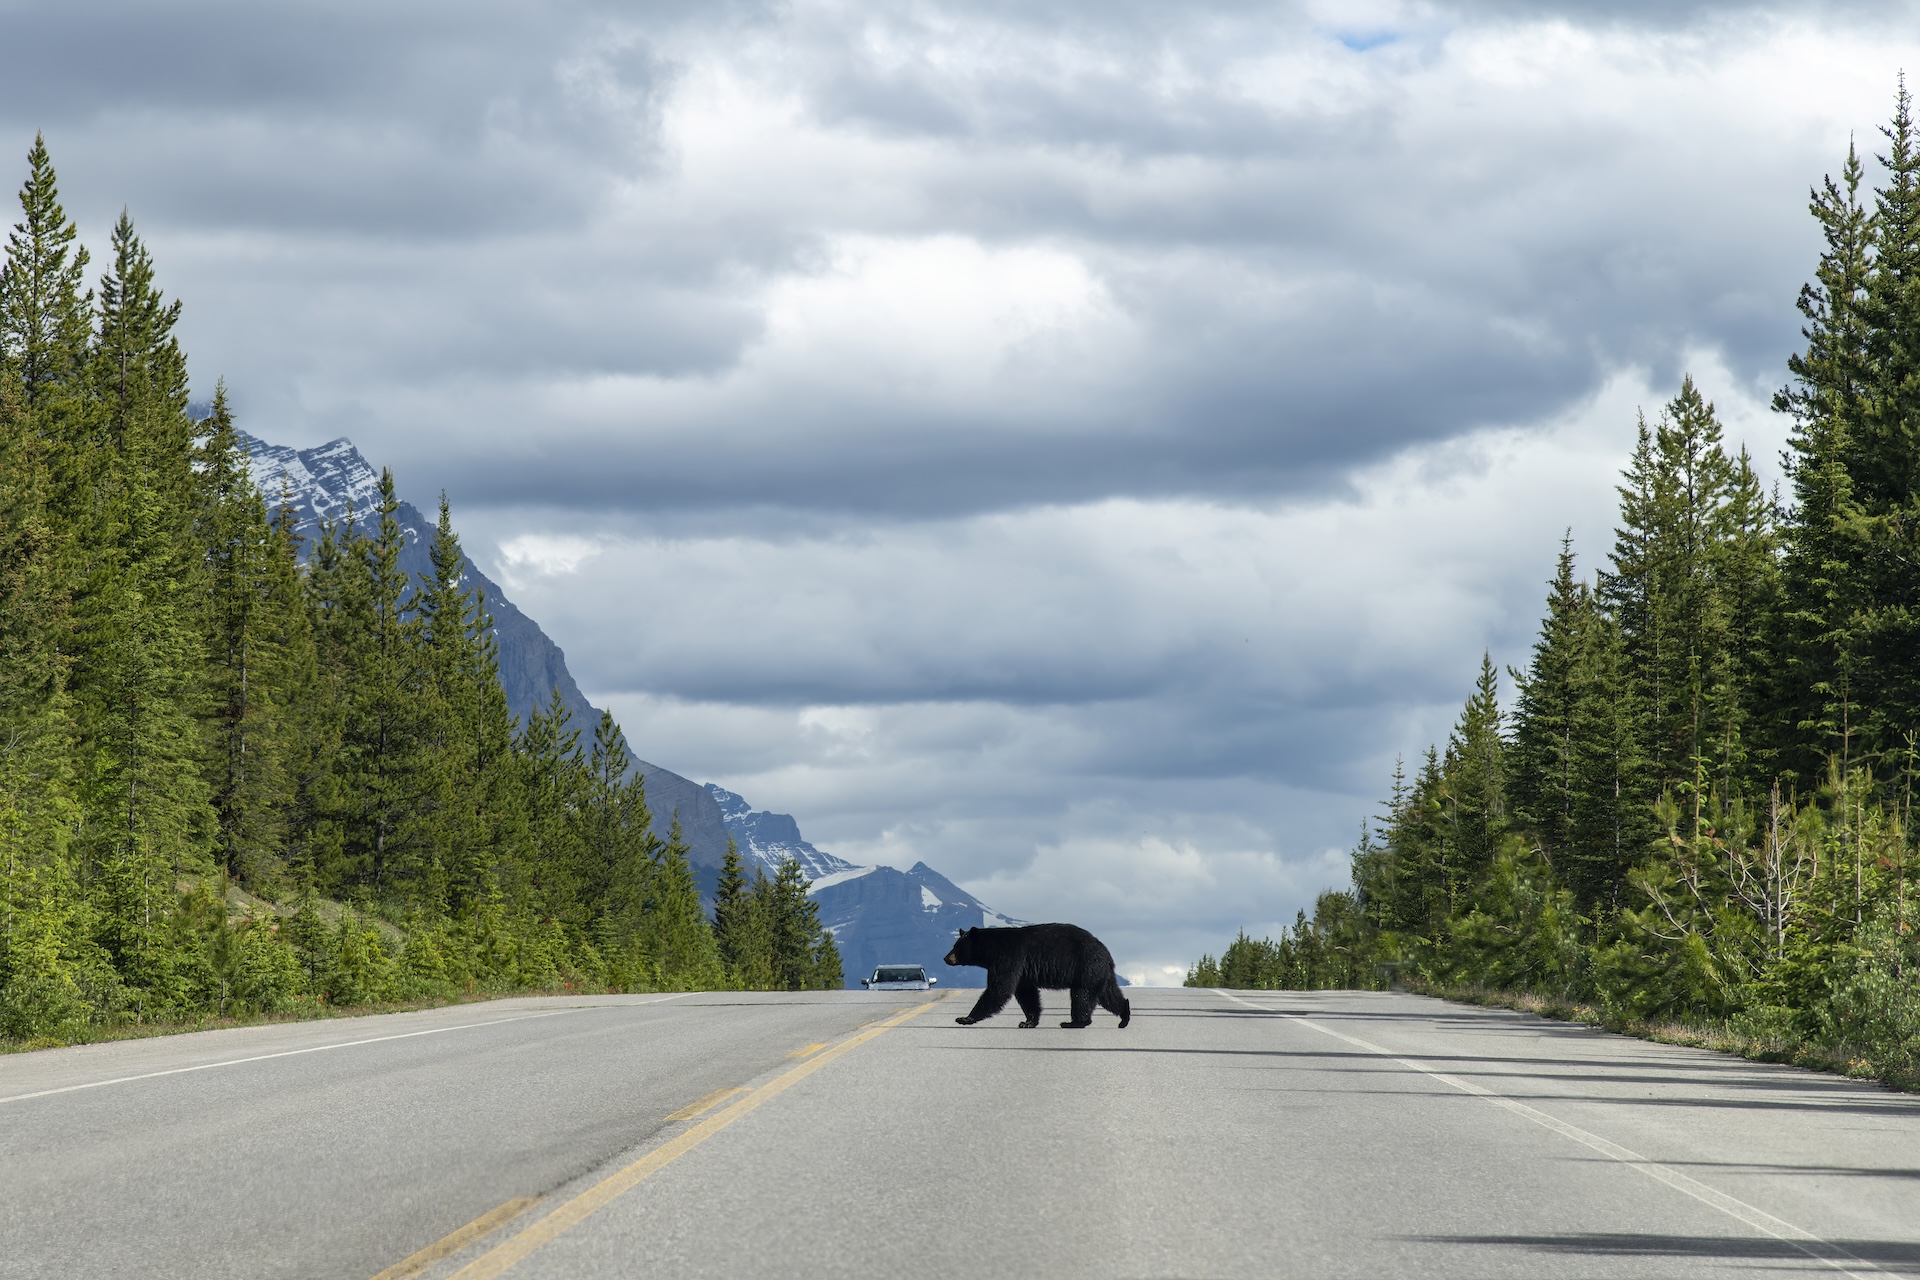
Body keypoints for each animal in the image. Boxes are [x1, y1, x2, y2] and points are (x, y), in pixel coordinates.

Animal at [944, 923, 1131, 1029]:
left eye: (957, 947)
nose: (946, 958)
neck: (992, 949)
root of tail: (1107, 953)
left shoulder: (1009, 958)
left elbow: (999, 989)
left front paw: (965, 1018)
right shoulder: (1023, 971)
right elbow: (1027, 994)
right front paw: (1028, 1022)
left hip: (1087, 967)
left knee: (1082, 995)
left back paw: (1074, 1023)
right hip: (1099, 973)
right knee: (1109, 995)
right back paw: (1124, 1017)